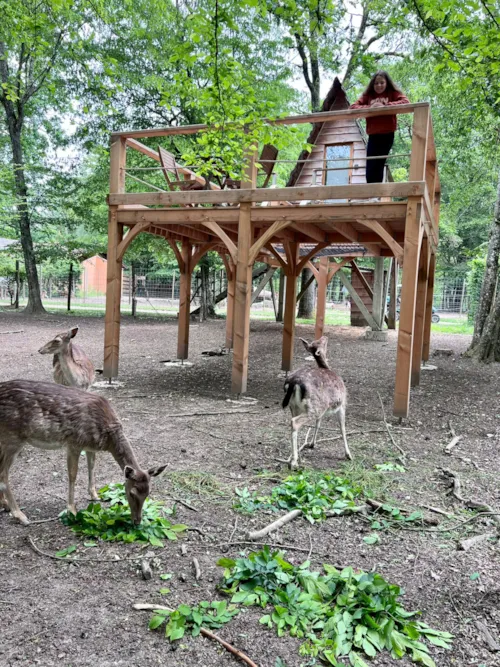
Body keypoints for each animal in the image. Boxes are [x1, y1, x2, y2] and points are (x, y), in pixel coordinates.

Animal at [0, 380, 167, 525]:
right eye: (131, 493)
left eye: (148, 494)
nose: (137, 521)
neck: (107, 439)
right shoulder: (74, 442)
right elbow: (73, 475)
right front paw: (72, 510)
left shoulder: (89, 447)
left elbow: (91, 467)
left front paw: (95, 495)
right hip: (13, 438)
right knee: (4, 473)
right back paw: (20, 515)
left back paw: (5, 504)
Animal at [282, 336, 351, 470]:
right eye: (321, 342)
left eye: (317, 341)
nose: (325, 336)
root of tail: (293, 382)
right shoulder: (342, 404)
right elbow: (343, 428)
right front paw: (349, 454)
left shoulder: (323, 411)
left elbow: (318, 423)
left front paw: (312, 444)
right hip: (314, 407)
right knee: (295, 423)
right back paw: (294, 462)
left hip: (295, 407)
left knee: (294, 423)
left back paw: (293, 457)